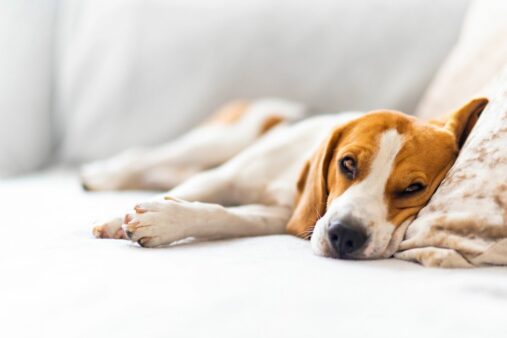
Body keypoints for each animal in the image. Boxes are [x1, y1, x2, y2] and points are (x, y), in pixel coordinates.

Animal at [82, 96, 488, 260]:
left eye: (413, 188)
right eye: (347, 164)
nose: (345, 236)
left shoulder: (283, 216)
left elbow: (224, 216)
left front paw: (167, 220)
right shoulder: (225, 177)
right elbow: (187, 192)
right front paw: (122, 219)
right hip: (221, 140)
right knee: (146, 157)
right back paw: (102, 175)